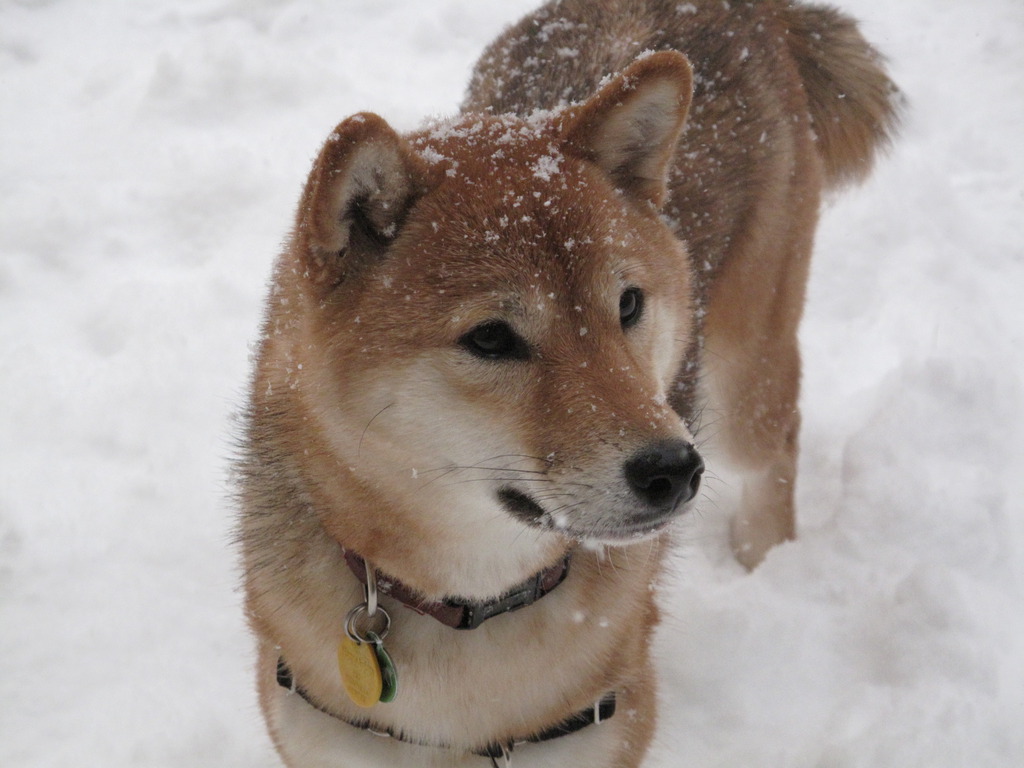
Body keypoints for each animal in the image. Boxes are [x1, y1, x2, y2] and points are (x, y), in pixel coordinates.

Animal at [235, 3, 901, 765]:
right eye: (491, 338)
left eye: (629, 304)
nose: (674, 469)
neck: (468, 607)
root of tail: (742, 10)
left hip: (744, 387)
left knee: (777, 446)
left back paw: (762, 560)